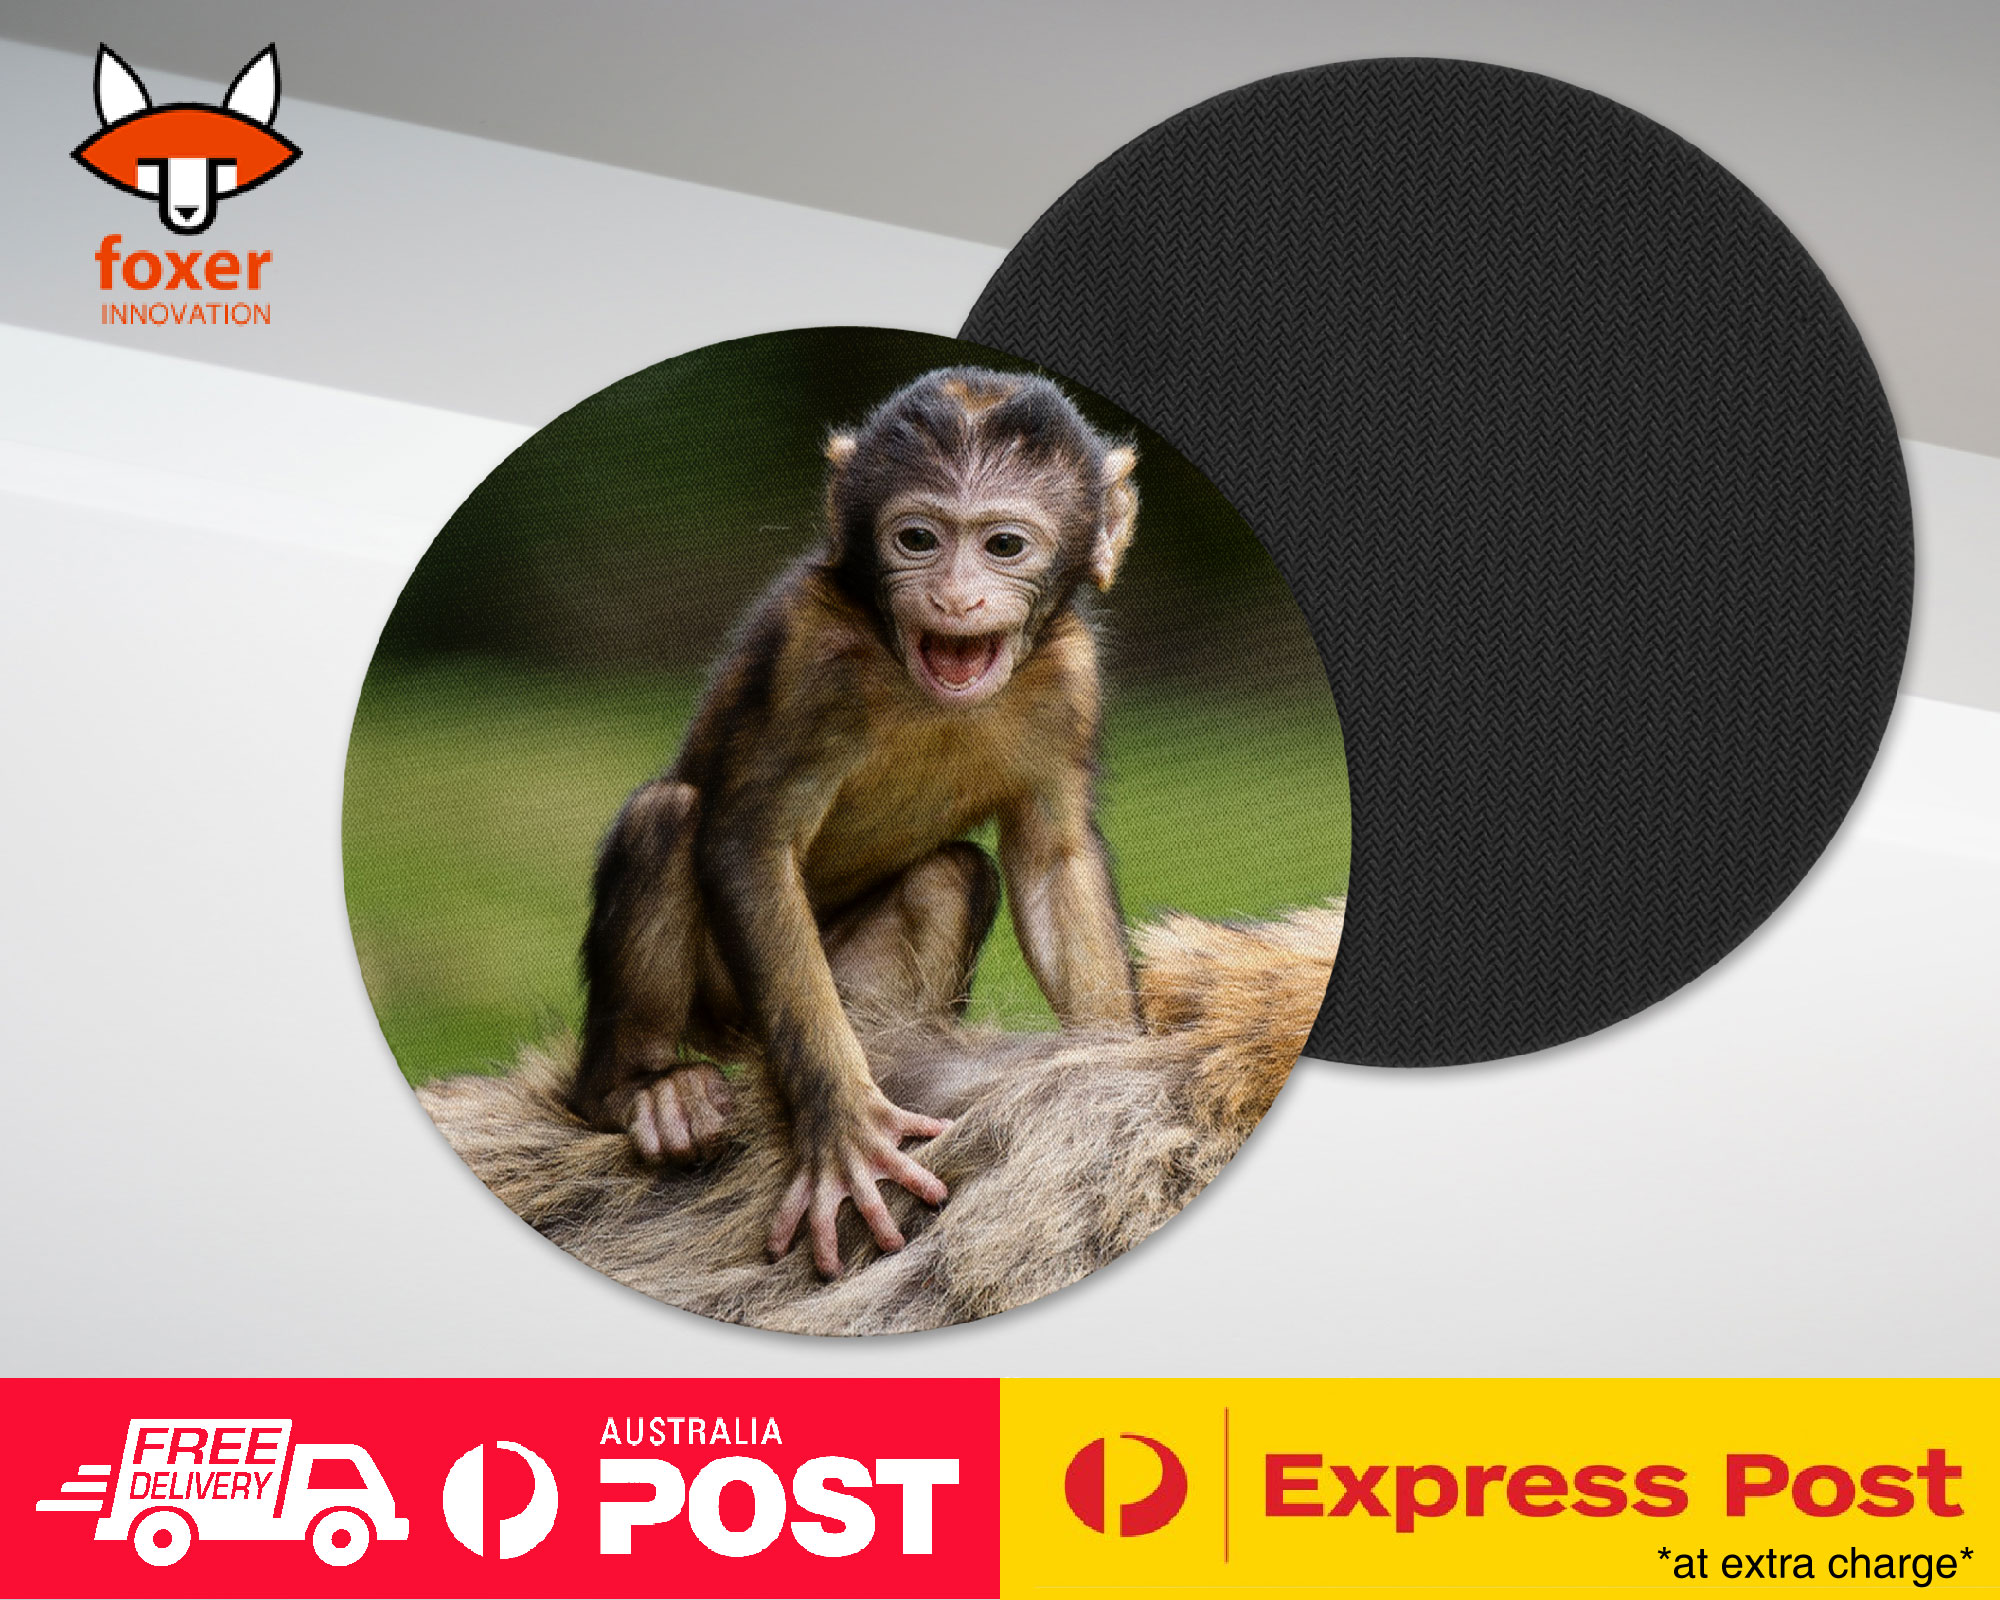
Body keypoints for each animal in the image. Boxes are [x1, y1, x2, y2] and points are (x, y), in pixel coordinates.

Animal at [565, 366, 1143, 1278]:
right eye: (917, 538)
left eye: (1003, 547)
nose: (954, 596)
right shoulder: (810, 656)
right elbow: (751, 844)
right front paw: (842, 1129)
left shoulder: (1069, 679)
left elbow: (1054, 862)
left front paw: (1113, 1079)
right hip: (725, 1010)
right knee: (671, 817)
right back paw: (640, 1091)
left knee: (950, 875)